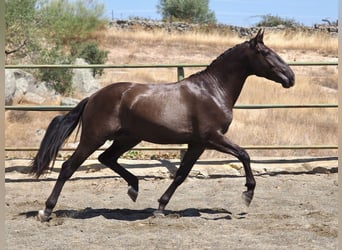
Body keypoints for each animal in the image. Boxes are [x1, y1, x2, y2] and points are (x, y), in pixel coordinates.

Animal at [30, 29, 296, 223]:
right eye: (266, 52)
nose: (290, 77)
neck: (212, 91)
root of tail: (92, 97)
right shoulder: (213, 138)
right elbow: (244, 155)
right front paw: (248, 194)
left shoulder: (197, 143)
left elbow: (181, 174)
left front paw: (160, 206)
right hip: (94, 137)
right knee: (68, 167)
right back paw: (46, 211)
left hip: (128, 138)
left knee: (107, 158)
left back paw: (134, 188)